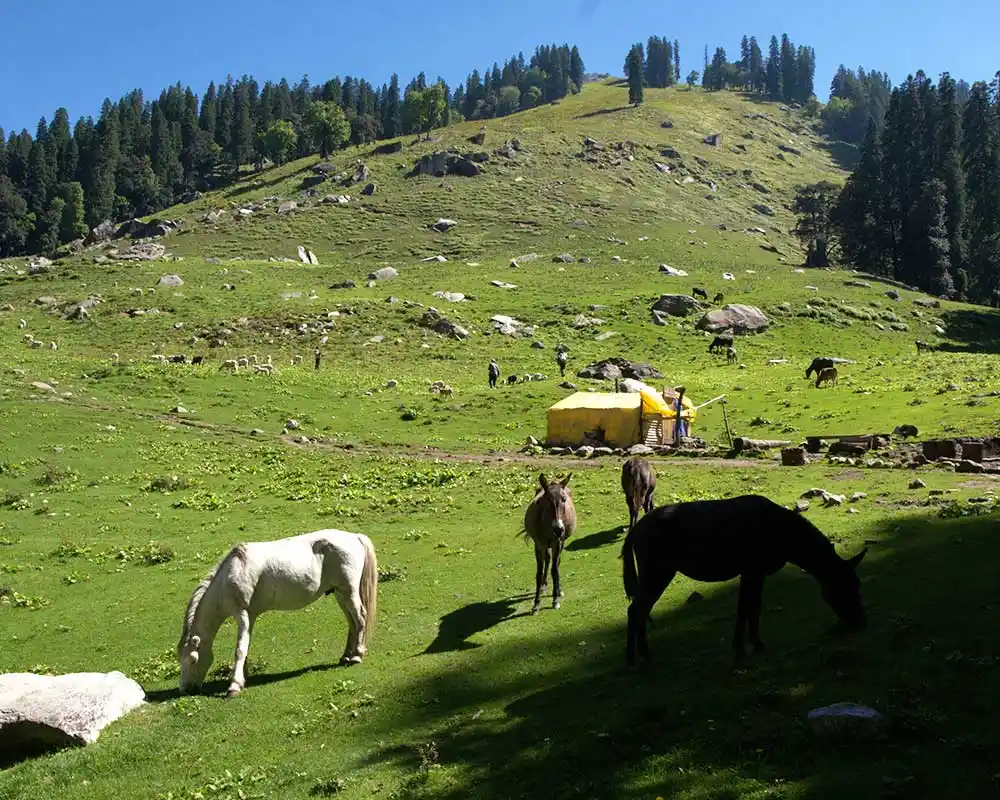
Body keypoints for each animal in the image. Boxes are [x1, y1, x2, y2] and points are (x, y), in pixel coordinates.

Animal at [176, 528, 378, 696]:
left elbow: (239, 649)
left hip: (349, 592)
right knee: (352, 622)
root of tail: (354, 537)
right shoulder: (250, 616)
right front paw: (244, 677)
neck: (232, 574)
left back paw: (357, 655)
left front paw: (234, 685)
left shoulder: (242, 614)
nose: (185, 689)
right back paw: (346, 656)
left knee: (360, 618)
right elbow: (246, 645)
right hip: (339, 593)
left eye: (192, 660)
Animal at [620, 494, 864, 668]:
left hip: (658, 573)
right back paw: (633, 658)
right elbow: (746, 608)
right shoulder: (750, 572)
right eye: (843, 587)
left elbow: (752, 608)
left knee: (640, 609)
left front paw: (752, 644)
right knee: (636, 609)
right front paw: (743, 648)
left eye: (857, 585)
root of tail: (635, 530)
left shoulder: (757, 574)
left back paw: (642, 655)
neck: (782, 535)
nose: (859, 620)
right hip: (657, 572)